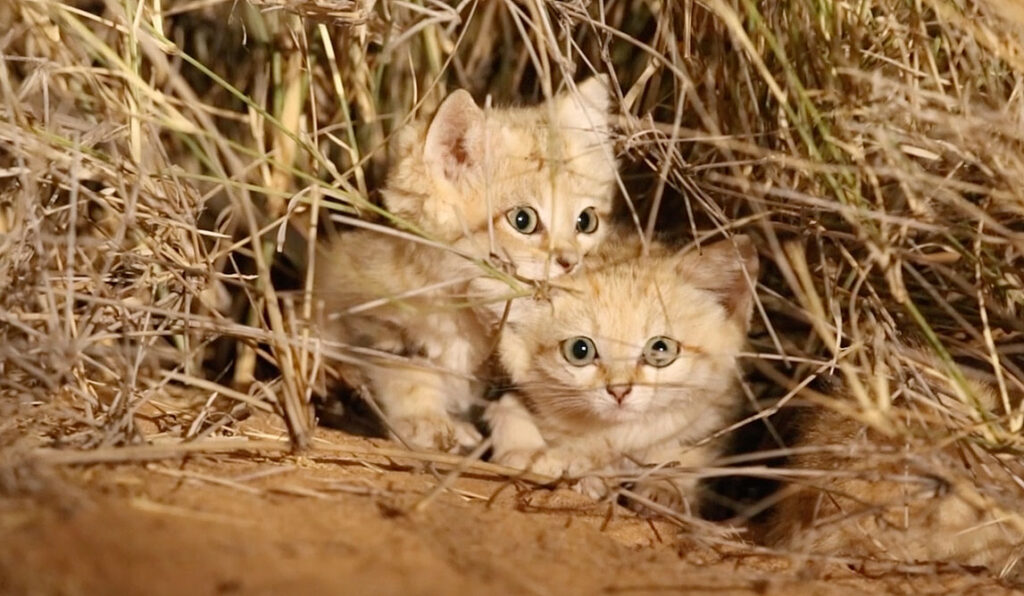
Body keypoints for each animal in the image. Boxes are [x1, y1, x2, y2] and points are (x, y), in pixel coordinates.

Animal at [311, 78, 614, 452]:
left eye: (586, 221)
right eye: (523, 220)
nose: (570, 261)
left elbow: (513, 400)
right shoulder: (372, 322)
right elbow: (406, 374)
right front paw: (427, 423)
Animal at [481, 235, 761, 512]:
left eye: (660, 349)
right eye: (579, 350)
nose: (619, 390)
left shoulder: (713, 412)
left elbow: (687, 451)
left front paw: (663, 488)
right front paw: (576, 472)